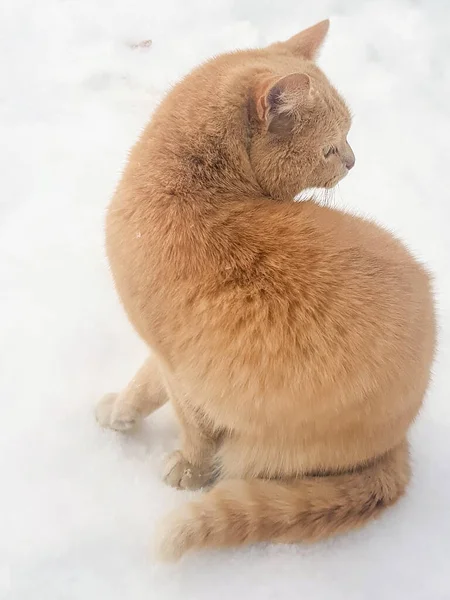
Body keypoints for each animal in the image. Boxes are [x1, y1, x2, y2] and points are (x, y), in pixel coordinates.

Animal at [96, 19, 436, 564]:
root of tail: (397, 443)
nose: (353, 161)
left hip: (260, 446)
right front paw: (119, 416)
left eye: (344, 141)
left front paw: (185, 471)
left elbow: (190, 431)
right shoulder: (167, 358)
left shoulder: (185, 373)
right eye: (331, 147)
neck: (195, 188)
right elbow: (143, 386)